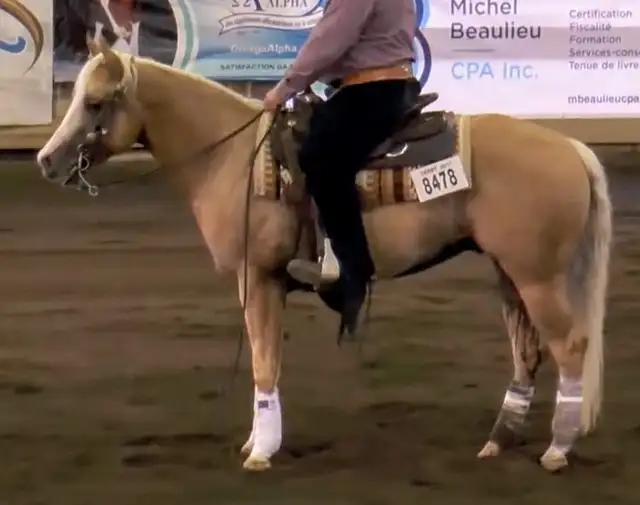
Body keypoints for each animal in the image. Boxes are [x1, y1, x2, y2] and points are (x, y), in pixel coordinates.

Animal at [36, 37, 612, 473]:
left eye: (94, 102)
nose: (46, 160)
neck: (232, 157)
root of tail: (571, 148)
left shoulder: (257, 277)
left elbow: (263, 360)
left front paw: (261, 451)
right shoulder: (265, 281)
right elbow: (269, 358)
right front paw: (259, 441)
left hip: (537, 276)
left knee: (570, 346)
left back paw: (558, 448)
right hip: (509, 272)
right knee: (528, 352)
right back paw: (499, 440)